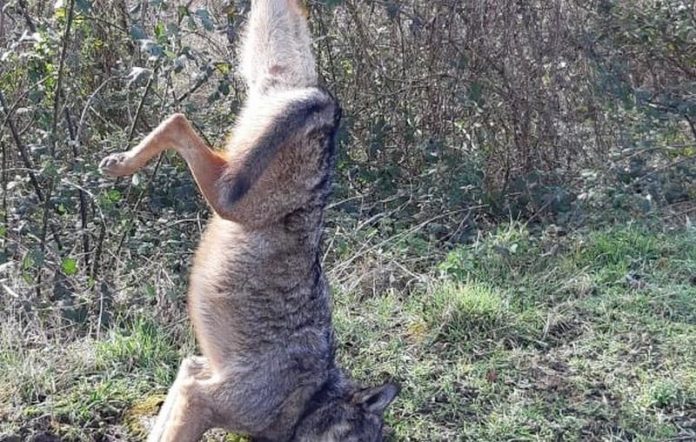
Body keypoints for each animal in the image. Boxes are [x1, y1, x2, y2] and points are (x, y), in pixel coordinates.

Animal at [99, 1, 398, 441]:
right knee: (178, 121)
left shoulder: (192, 371)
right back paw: (121, 165)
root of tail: (330, 106)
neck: (309, 399)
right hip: (230, 198)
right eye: (358, 441)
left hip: (262, 68)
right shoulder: (202, 397)